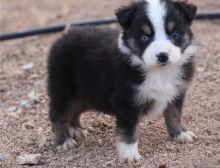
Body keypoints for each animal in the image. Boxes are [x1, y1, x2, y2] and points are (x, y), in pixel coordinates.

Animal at [47, 0, 198, 163]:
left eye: (174, 34)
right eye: (144, 37)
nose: (162, 56)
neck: (159, 72)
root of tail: (63, 37)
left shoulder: (177, 92)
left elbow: (174, 114)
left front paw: (180, 134)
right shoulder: (127, 100)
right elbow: (130, 130)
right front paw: (130, 154)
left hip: (86, 93)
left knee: (75, 110)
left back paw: (76, 130)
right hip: (63, 90)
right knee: (58, 115)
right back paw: (65, 140)